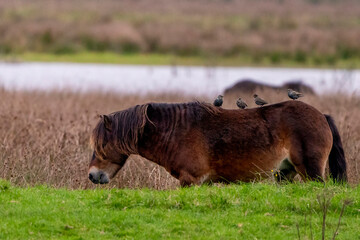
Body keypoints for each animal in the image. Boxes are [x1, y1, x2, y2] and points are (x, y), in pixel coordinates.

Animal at [87, 100, 346, 187]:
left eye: (101, 146)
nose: (92, 175)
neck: (176, 131)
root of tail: (322, 116)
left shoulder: (190, 180)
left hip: (311, 172)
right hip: (285, 174)